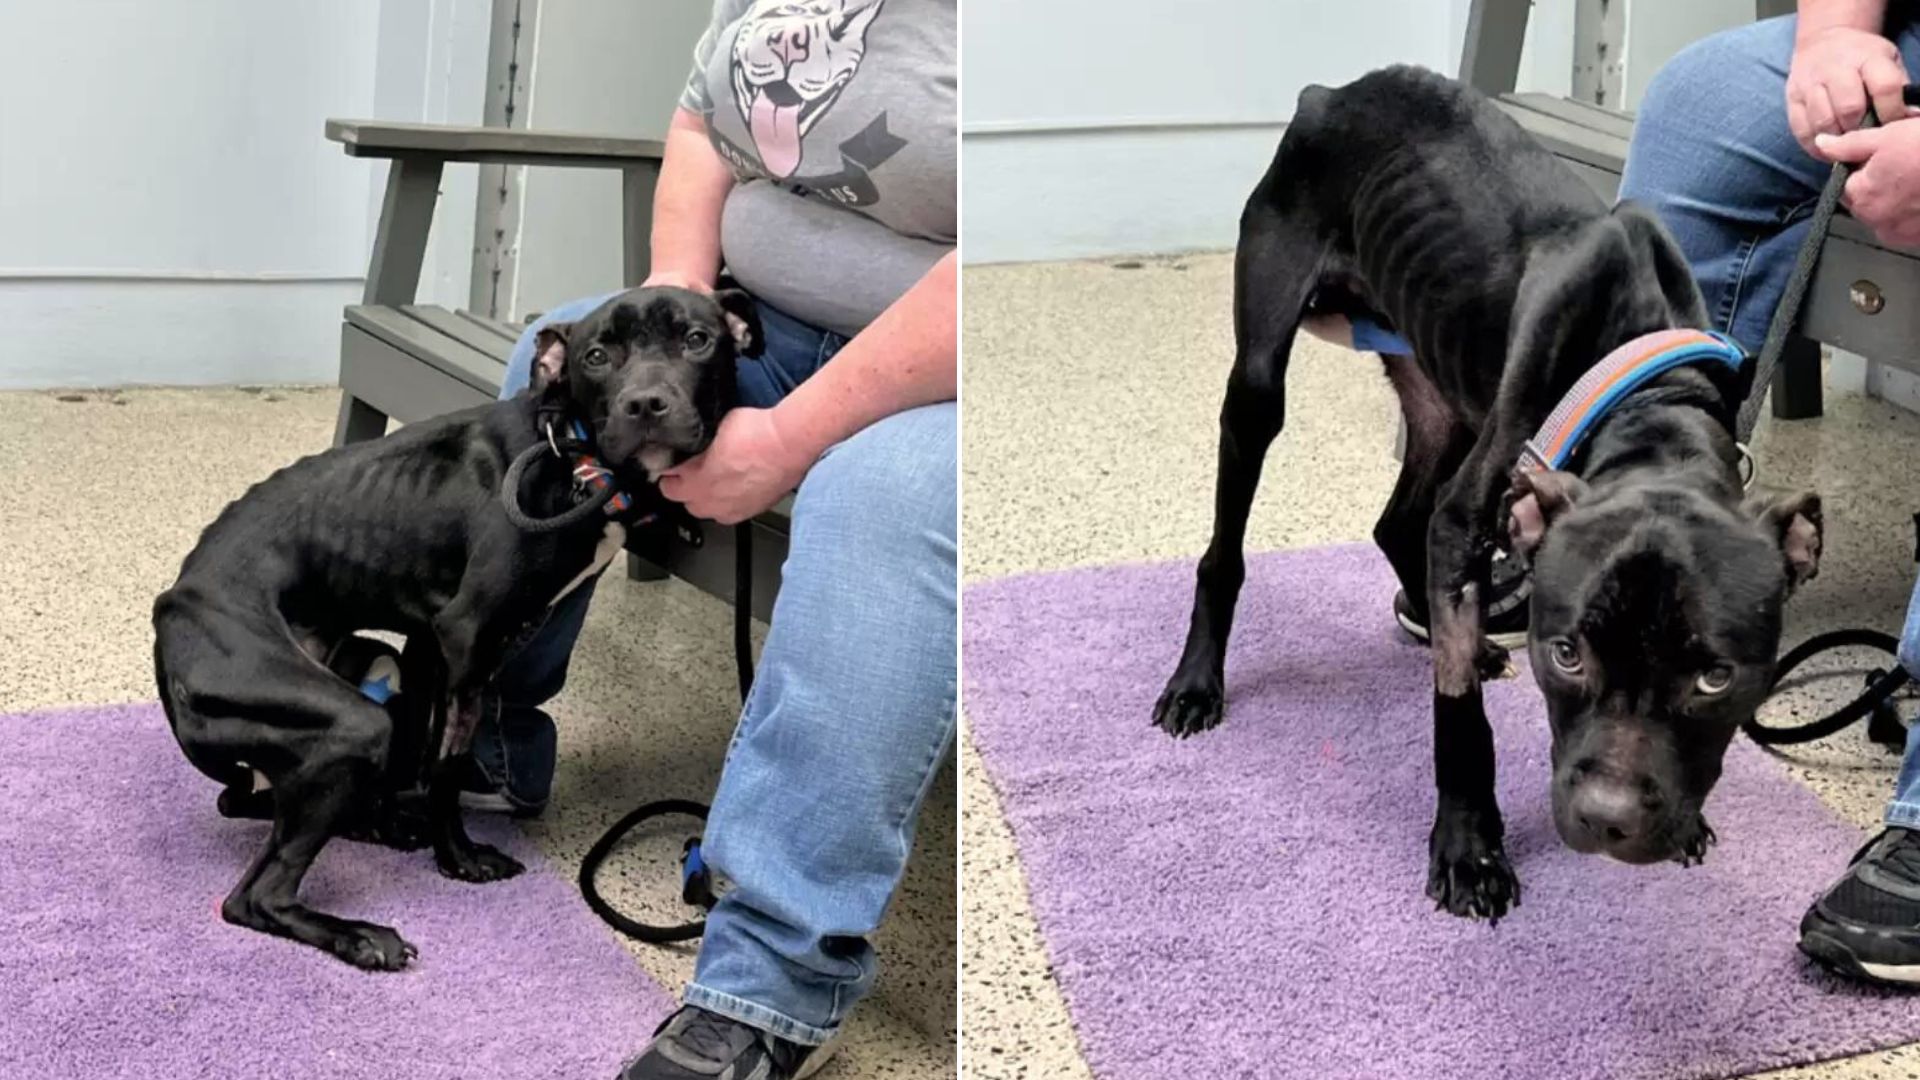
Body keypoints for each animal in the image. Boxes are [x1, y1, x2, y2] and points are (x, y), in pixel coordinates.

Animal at [157, 282, 756, 960]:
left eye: (697, 340)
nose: (647, 404)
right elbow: (445, 766)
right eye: (598, 355)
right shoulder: (467, 638)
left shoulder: (427, 646)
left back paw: (375, 826)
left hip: (361, 682)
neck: (570, 452)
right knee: (255, 897)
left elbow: (423, 751)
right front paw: (459, 858)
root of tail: (171, 615)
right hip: (349, 723)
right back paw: (362, 936)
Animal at [1144, 67, 1820, 922]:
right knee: (1228, 550)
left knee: (1400, 522)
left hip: (1444, 397)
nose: (1610, 822)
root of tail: (1330, 93)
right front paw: (1469, 848)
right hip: (1266, 376)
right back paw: (1197, 682)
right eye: (1565, 653)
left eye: (1716, 677)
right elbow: (1459, 710)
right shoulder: (1474, 514)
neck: (1650, 398)